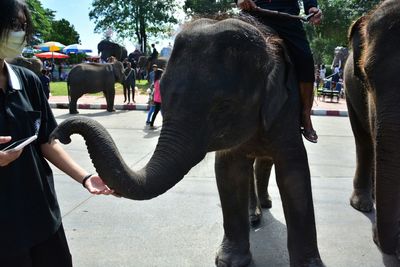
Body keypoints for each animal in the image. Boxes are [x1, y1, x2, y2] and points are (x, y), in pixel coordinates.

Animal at [51, 16, 324, 267]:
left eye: (224, 107)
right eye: (163, 93)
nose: (60, 134)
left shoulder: (287, 107)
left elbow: (294, 174)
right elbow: (229, 172)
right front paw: (230, 261)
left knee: (265, 161)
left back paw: (264, 205)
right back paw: (254, 214)